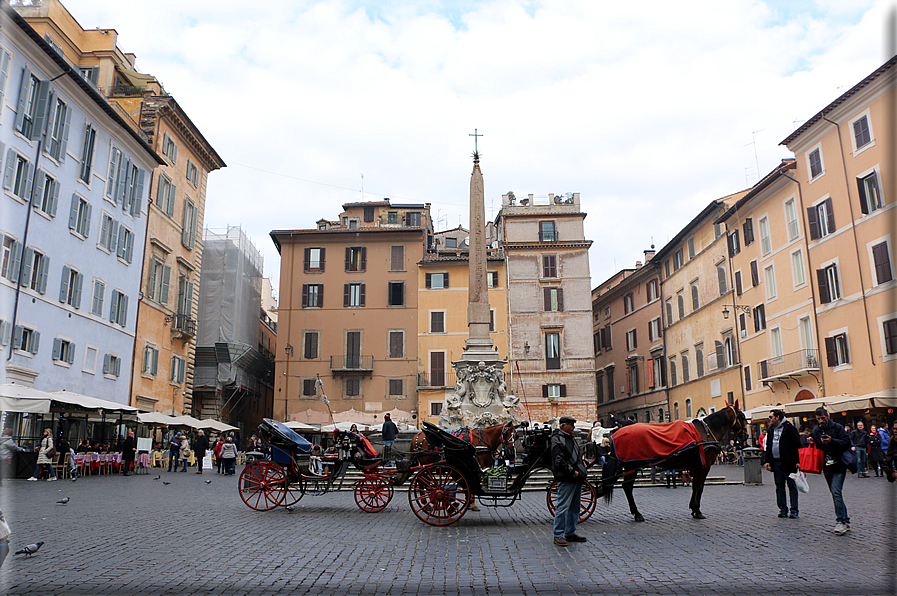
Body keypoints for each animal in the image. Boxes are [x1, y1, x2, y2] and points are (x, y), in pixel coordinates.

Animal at [600, 406, 748, 520]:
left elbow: (695, 486)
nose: (745, 436)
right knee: (627, 487)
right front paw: (698, 511)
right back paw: (637, 513)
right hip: (632, 466)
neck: (705, 432)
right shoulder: (704, 467)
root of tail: (615, 435)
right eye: (742, 417)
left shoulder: (696, 466)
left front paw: (693, 508)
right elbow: (700, 487)